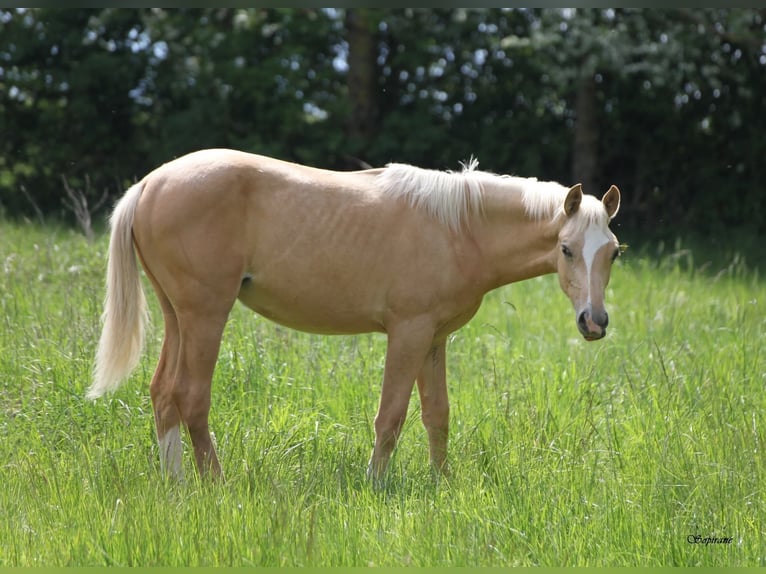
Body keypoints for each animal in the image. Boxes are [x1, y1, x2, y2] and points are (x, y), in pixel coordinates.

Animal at [87, 149, 621, 482]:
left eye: (613, 252)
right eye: (567, 249)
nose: (594, 322)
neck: (459, 228)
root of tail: (151, 183)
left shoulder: (433, 340)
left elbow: (437, 415)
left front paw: (442, 483)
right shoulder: (408, 333)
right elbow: (391, 415)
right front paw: (376, 484)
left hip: (177, 315)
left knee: (163, 394)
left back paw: (175, 483)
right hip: (205, 316)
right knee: (191, 396)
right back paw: (216, 484)